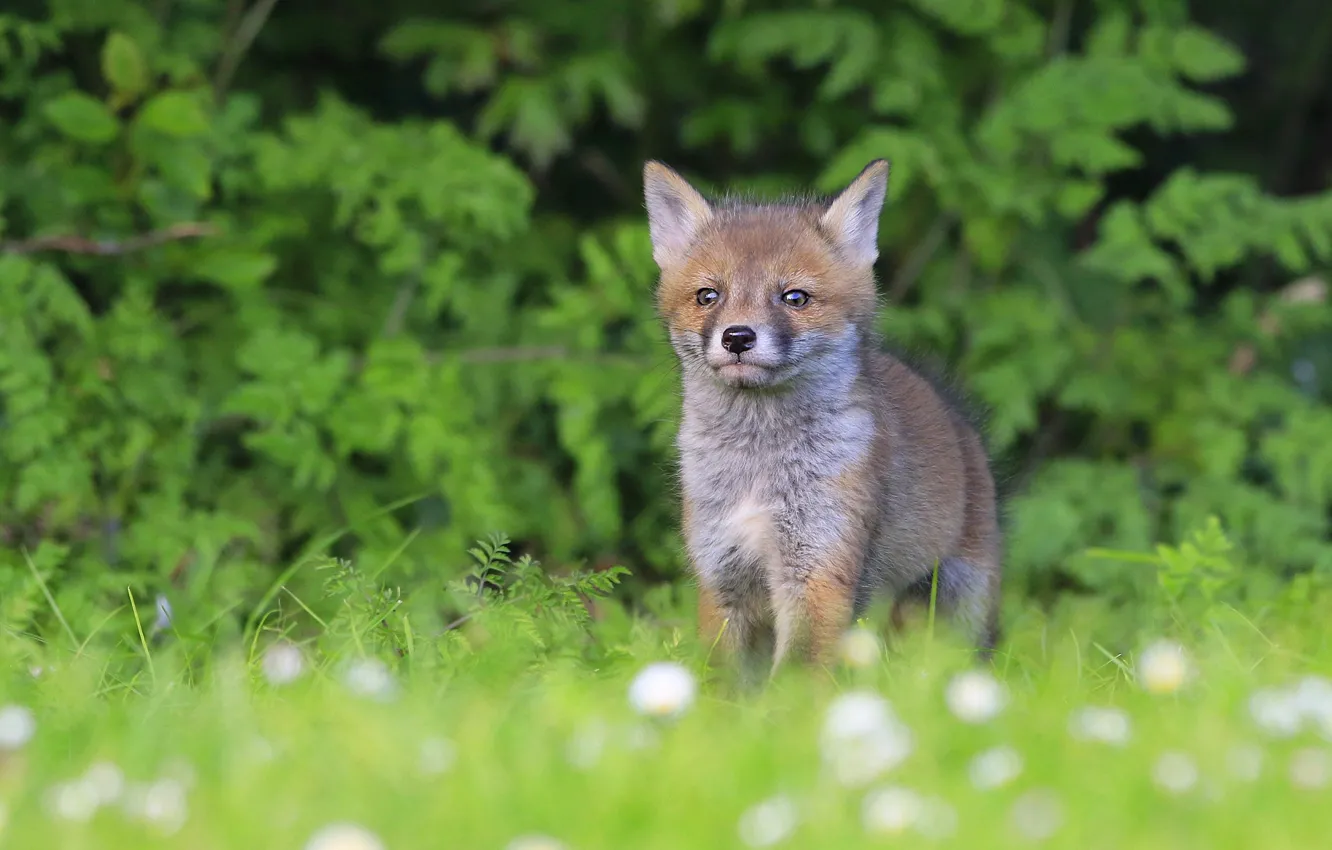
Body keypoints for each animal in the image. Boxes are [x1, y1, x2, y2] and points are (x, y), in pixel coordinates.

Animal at [642, 158, 1003, 678]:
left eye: (794, 298)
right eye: (708, 296)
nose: (737, 337)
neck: (758, 467)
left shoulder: (818, 571)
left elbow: (796, 676)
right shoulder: (721, 574)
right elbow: (721, 680)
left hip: (960, 602)